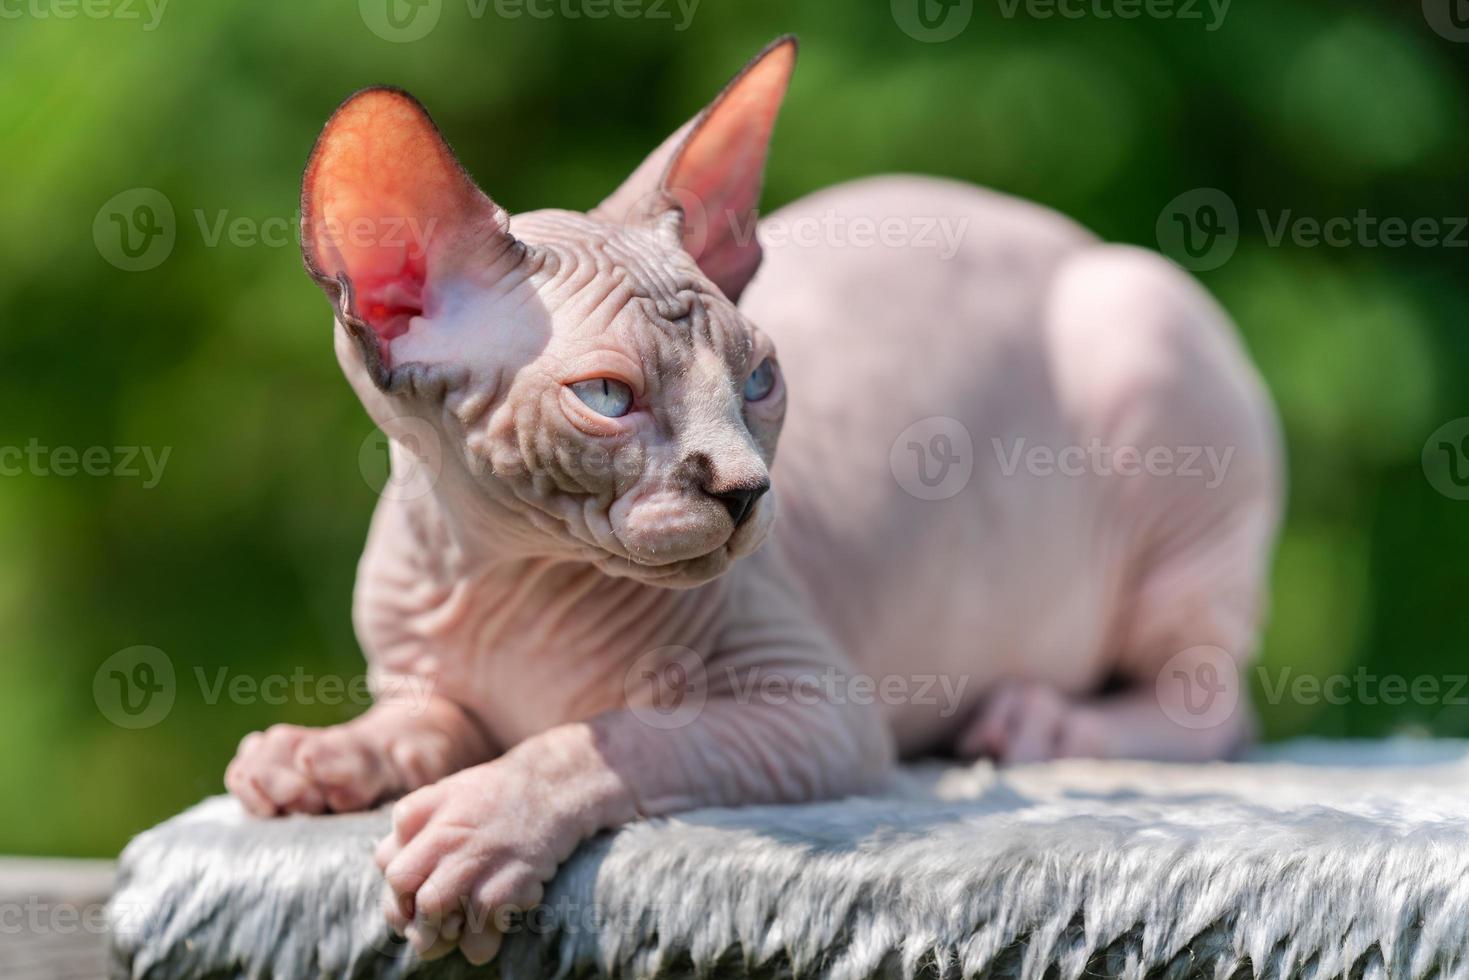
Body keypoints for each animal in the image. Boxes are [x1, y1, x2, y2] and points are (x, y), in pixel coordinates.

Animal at [223, 36, 1280, 963]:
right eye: (607, 397)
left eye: (760, 379)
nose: (745, 489)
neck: (506, 577)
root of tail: (1084, 243)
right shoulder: (424, 675)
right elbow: (422, 725)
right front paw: (319, 758)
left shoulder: (815, 710)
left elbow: (611, 737)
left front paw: (483, 825)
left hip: (1152, 372)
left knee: (1211, 698)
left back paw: (1047, 725)